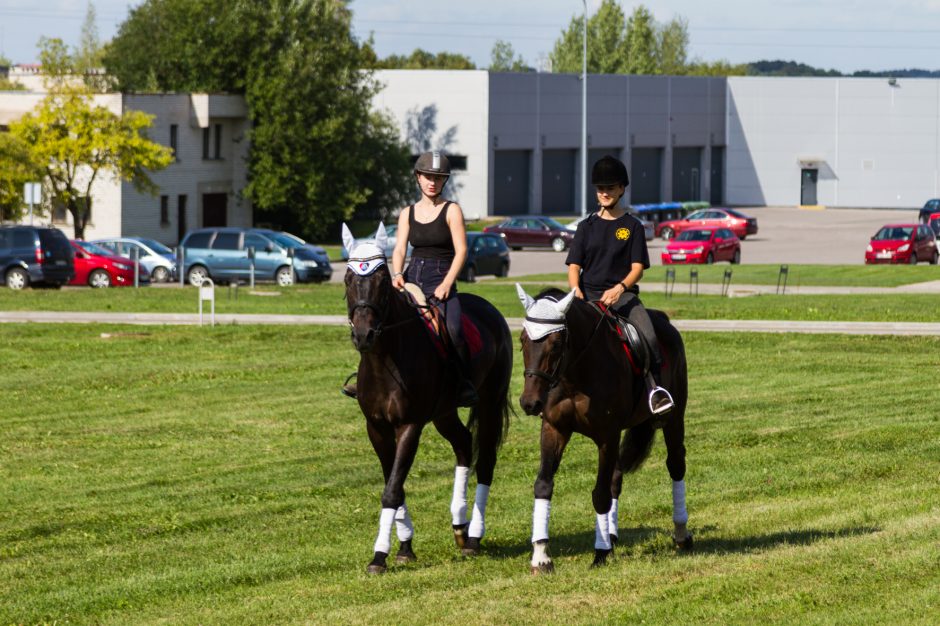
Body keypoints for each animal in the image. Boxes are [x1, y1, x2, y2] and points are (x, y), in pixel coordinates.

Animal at [342, 223, 510, 572]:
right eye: (348, 280)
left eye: (381, 280)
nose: (363, 335)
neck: (384, 359)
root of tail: (491, 311)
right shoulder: (376, 428)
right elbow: (394, 483)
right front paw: (405, 546)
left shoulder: (410, 426)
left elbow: (392, 490)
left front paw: (380, 555)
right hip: (444, 413)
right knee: (463, 445)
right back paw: (458, 525)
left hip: (489, 403)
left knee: (485, 461)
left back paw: (473, 537)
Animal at [516, 282, 692, 572]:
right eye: (523, 340)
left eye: (556, 343)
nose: (530, 403)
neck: (575, 374)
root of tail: (666, 323)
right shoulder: (554, 429)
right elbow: (543, 485)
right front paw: (541, 556)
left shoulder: (607, 435)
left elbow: (599, 494)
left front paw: (600, 553)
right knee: (616, 478)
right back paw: (611, 534)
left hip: (674, 418)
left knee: (675, 464)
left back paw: (681, 533)